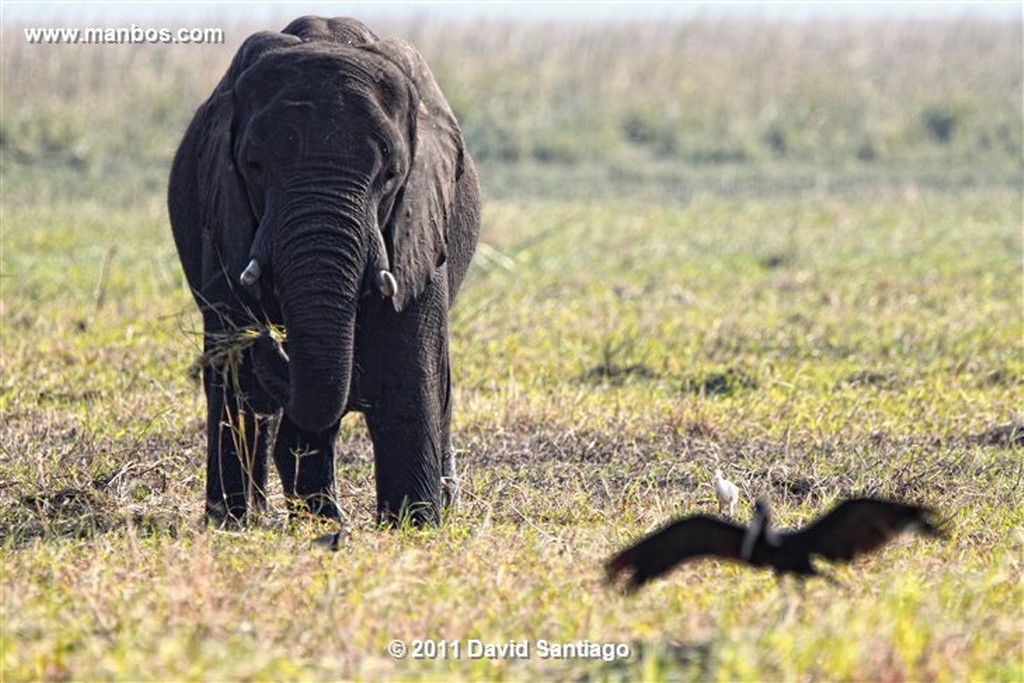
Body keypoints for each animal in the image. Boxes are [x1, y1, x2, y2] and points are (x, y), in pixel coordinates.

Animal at [169, 17, 481, 528]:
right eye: (254, 166)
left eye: (390, 174)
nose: (271, 335)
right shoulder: (223, 213)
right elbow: (235, 365)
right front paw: (232, 525)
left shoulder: (418, 220)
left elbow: (407, 360)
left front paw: (412, 525)